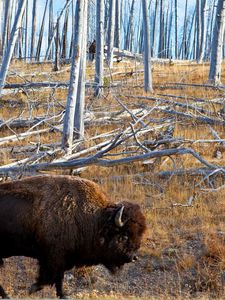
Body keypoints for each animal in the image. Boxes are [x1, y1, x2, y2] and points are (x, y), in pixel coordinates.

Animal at [0, 176, 146, 298]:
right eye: (124, 235)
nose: (134, 257)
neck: (96, 219)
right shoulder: (53, 258)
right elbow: (49, 278)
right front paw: (31, 289)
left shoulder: (62, 259)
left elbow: (58, 279)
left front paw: (62, 295)